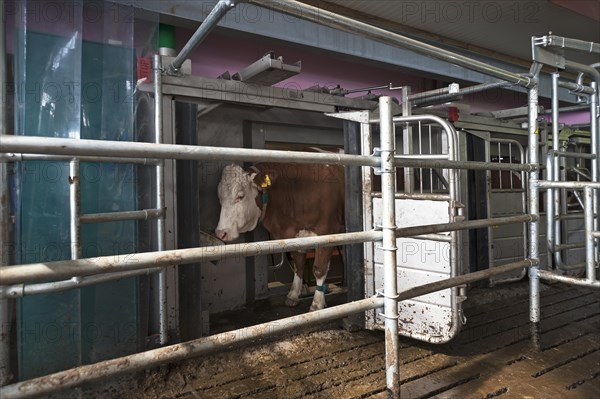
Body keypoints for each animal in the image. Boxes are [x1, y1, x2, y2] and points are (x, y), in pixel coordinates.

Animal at [214, 162, 346, 312]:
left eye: (240, 196)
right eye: (220, 197)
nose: (220, 233)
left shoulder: (328, 232)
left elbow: (319, 269)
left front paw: (317, 304)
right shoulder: (297, 235)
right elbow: (298, 264)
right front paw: (293, 295)